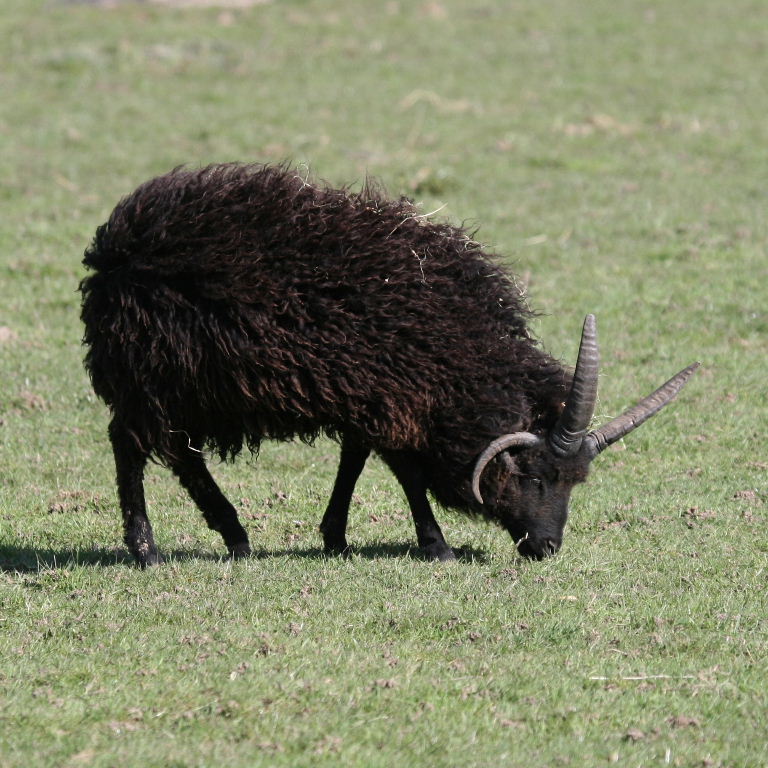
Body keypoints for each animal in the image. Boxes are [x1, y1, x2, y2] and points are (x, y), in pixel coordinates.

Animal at [79, 163, 698, 566]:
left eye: (576, 480)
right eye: (533, 476)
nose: (547, 549)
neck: (463, 357)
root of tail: (114, 246)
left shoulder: (370, 390)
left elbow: (355, 457)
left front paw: (335, 536)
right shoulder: (397, 389)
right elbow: (405, 470)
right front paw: (437, 545)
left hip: (179, 383)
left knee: (179, 453)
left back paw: (233, 536)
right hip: (152, 374)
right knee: (133, 447)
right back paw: (149, 549)